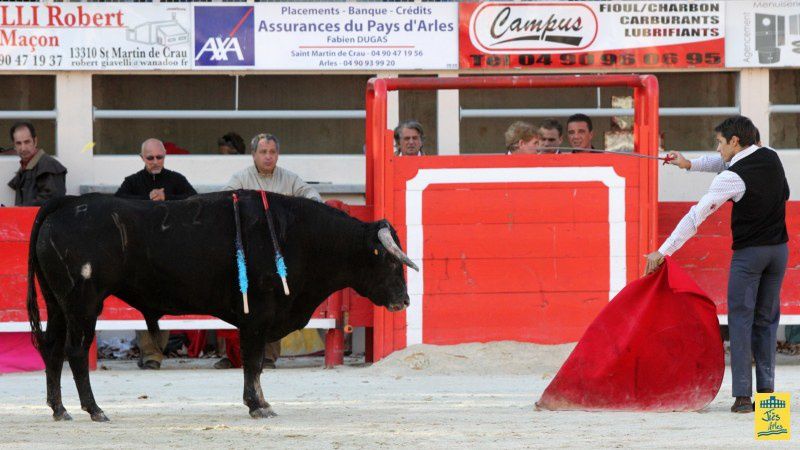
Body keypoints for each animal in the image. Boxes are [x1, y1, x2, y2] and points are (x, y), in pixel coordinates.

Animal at [25, 191, 416, 422]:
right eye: (390, 260)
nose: (405, 300)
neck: (298, 236)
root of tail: (66, 203)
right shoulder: (257, 317)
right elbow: (253, 363)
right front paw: (257, 406)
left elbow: (255, 366)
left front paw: (262, 403)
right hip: (83, 304)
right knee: (76, 352)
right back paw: (94, 410)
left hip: (57, 304)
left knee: (52, 349)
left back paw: (60, 410)